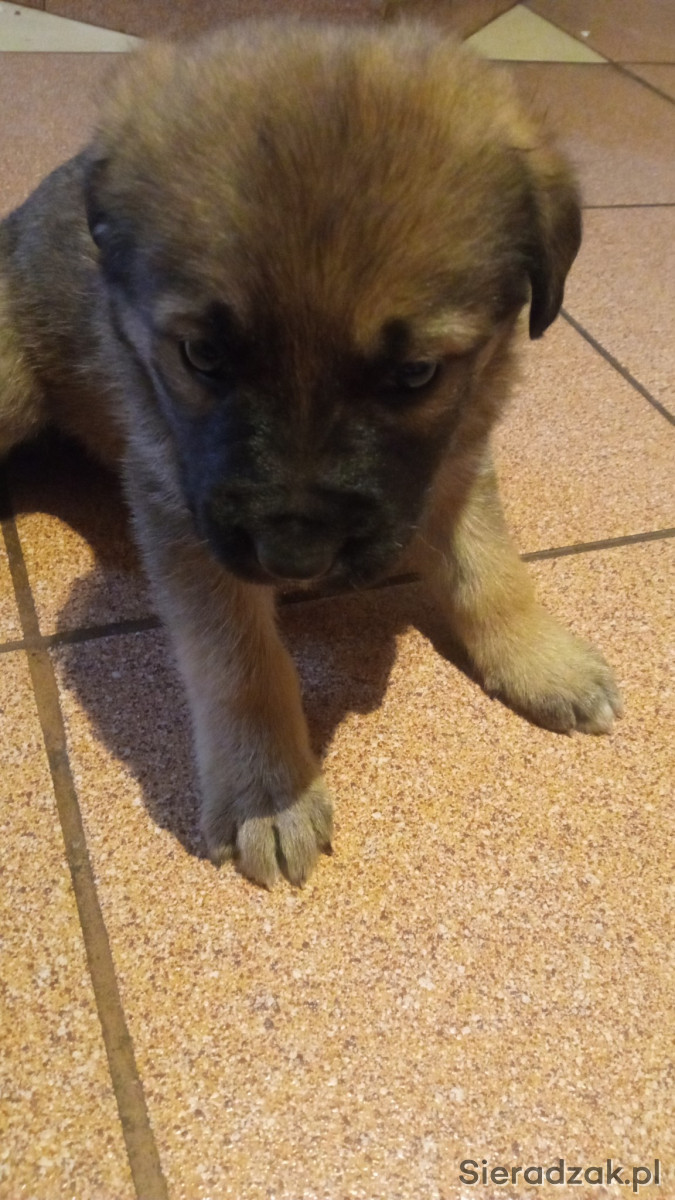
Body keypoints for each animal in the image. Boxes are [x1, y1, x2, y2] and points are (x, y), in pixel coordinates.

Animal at [0, 20, 622, 888]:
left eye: (415, 374)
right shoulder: (179, 501)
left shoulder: (455, 452)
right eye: (201, 355)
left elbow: (489, 567)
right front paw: (268, 791)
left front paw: (538, 658)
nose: (295, 560)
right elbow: (241, 661)